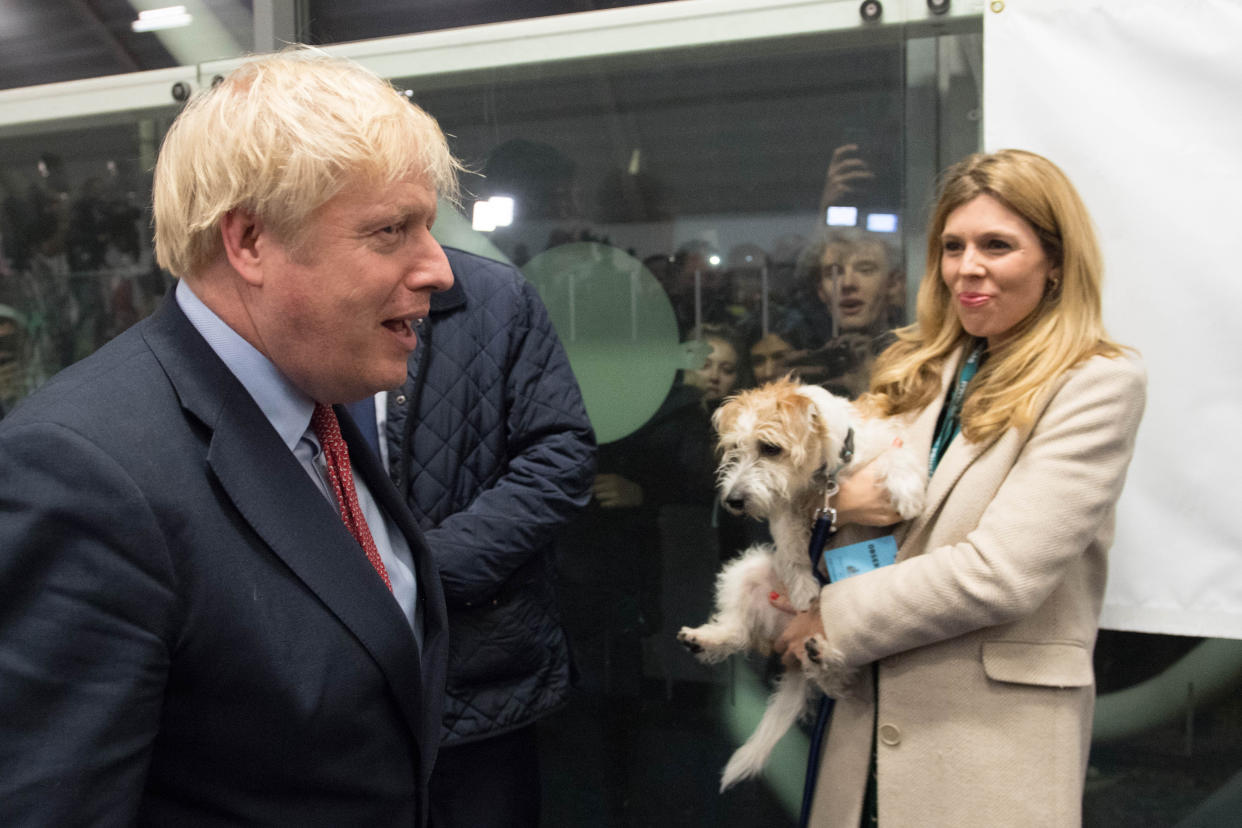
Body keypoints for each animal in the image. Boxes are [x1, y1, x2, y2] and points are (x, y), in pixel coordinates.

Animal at [675, 379, 929, 794]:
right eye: (734, 448)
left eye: (770, 448)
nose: (733, 501)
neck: (825, 476)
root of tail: (794, 660)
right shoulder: (785, 511)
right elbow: (792, 548)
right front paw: (804, 589)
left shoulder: (883, 445)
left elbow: (898, 457)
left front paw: (907, 492)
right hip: (746, 570)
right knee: (740, 632)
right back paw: (708, 639)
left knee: (838, 683)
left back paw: (822, 655)